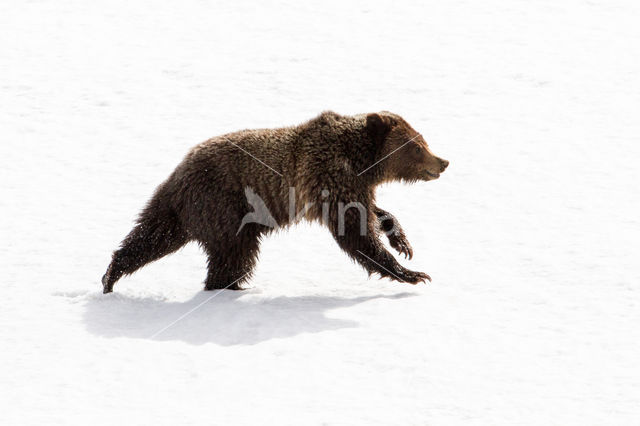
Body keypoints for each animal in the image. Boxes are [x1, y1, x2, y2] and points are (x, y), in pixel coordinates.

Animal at [102, 110, 448, 292]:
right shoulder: (328, 175)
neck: (361, 161)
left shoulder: (350, 185)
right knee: (234, 255)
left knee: (151, 236)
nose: (443, 162)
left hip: (179, 209)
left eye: (423, 140)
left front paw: (402, 241)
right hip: (225, 205)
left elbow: (370, 212)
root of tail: (178, 173)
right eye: (417, 146)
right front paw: (412, 273)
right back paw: (228, 287)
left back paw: (110, 275)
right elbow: (355, 232)